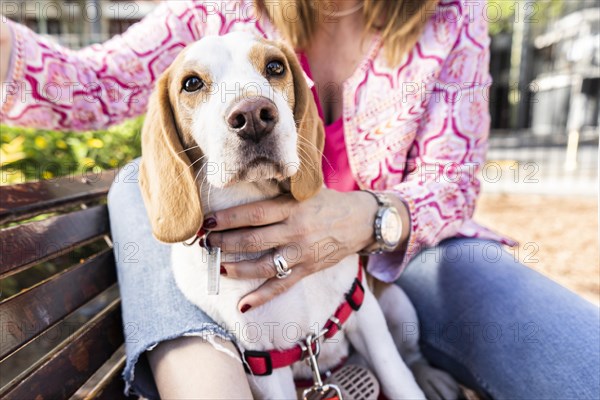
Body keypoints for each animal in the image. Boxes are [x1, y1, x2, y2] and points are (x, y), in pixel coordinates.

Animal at [141, 32, 460, 400]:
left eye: (275, 67)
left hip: (395, 304)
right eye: (191, 83)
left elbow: (399, 379)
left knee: (411, 355)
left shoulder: (363, 313)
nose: (253, 114)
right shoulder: (266, 364)